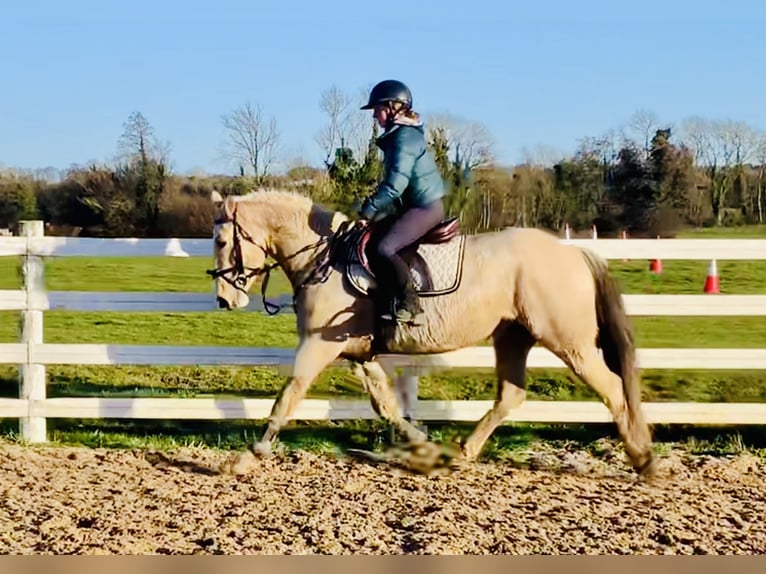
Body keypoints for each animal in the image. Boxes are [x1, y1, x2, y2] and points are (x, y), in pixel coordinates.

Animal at [207, 188, 657, 478]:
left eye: (222, 240)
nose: (225, 299)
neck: (325, 257)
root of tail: (574, 252)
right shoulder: (359, 355)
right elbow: (387, 406)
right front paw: (424, 449)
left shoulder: (317, 346)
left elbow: (288, 396)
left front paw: (249, 457)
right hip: (513, 336)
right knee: (511, 395)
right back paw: (461, 453)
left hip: (570, 343)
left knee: (613, 389)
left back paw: (643, 459)